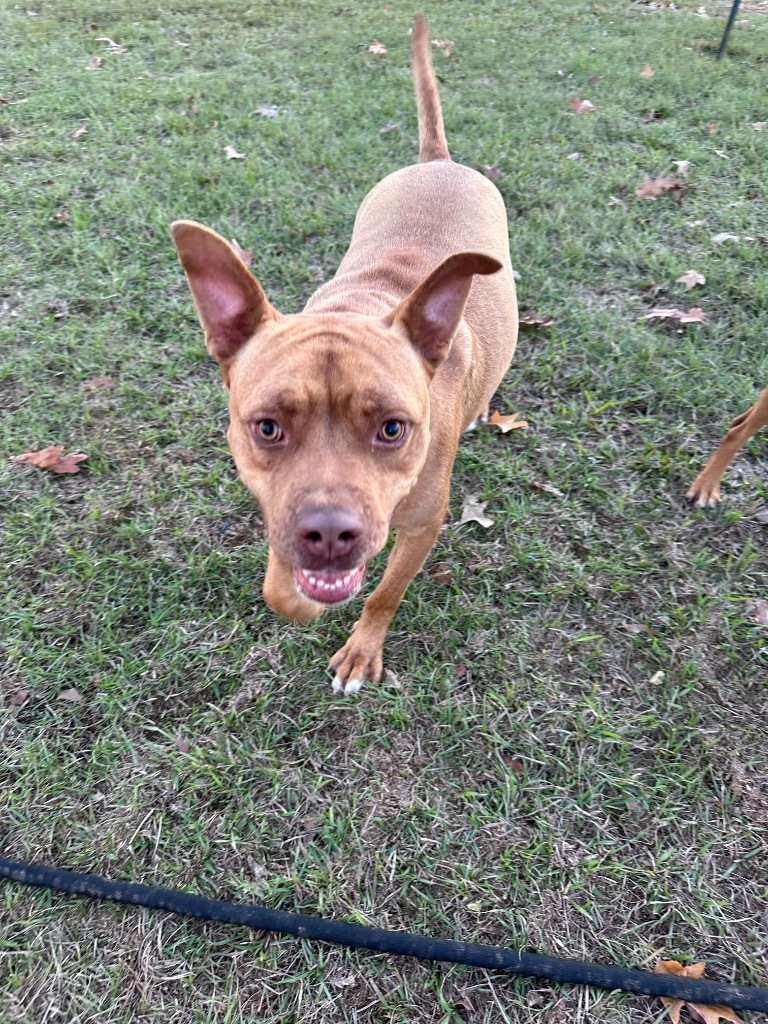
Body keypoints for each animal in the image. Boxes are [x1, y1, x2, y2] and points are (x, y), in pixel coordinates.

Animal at [171, 16, 520, 692]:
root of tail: (439, 162)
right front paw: (297, 595)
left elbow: (384, 593)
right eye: (267, 427)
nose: (330, 535)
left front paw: (362, 648)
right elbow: (280, 580)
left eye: (392, 429)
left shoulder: (421, 528)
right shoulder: (281, 509)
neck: (360, 306)